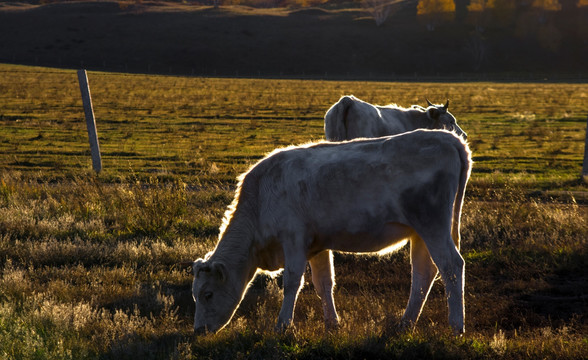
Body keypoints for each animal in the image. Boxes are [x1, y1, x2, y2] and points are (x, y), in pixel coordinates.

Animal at [191, 129, 470, 334]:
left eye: (207, 294)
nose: (198, 330)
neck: (260, 197)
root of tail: (448, 138)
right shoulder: (317, 246)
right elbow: (324, 282)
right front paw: (332, 324)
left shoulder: (293, 240)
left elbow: (292, 282)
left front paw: (283, 325)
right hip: (420, 233)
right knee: (424, 273)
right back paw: (405, 323)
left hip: (432, 225)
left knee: (451, 266)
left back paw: (456, 326)